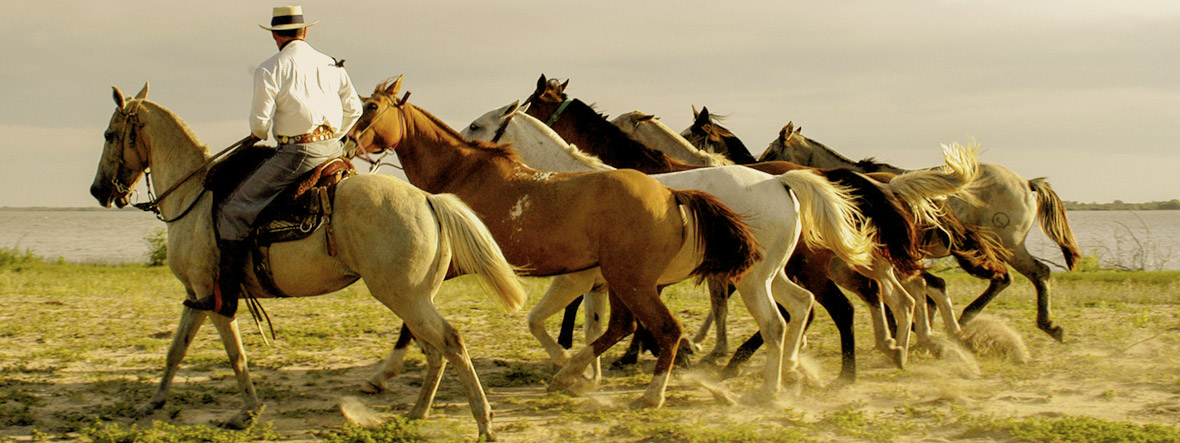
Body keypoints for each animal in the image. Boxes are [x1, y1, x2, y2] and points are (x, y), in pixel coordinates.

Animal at [87, 83, 521, 441]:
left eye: (109, 135)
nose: (98, 191)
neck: (193, 195)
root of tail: (430, 200)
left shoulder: (216, 297)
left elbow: (235, 354)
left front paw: (248, 410)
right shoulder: (198, 294)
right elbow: (176, 350)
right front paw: (154, 403)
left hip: (406, 297)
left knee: (451, 342)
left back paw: (483, 423)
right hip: (412, 299)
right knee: (434, 349)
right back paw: (417, 413)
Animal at [689, 108, 1080, 342]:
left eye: (773, 149)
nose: (753, 162)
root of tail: (1026, 182)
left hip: (1005, 244)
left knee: (1032, 273)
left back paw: (1036, 324)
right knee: (1011, 277)